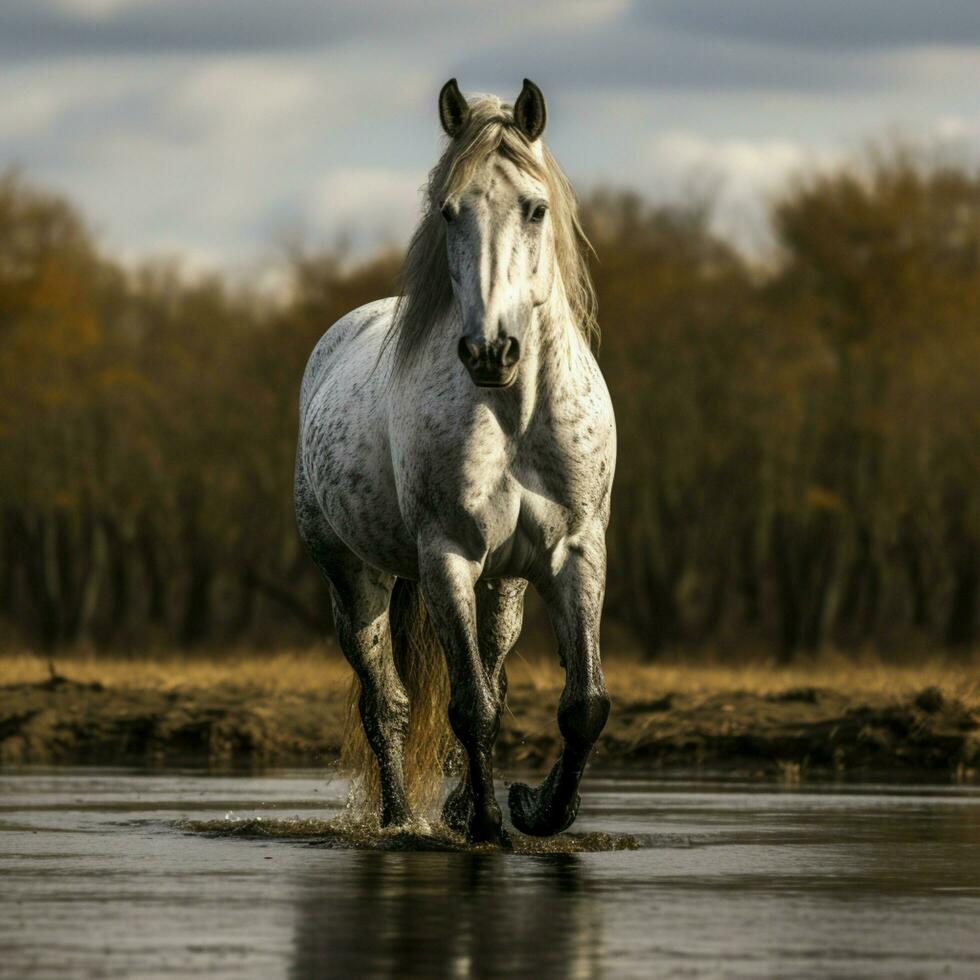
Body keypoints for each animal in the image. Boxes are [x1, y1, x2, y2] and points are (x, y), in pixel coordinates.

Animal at [292, 78, 612, 844]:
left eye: (535, 208)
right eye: (448, 210)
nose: (490, 351)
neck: (515, 411)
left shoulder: (578, 551)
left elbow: (581, 703)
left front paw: (537, 809)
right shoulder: (447, 558)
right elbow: (469, 706)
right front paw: (490, 825)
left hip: (506, 586)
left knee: (492, 670)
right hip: (355, 578)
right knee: (387, 703)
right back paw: (401, 818)